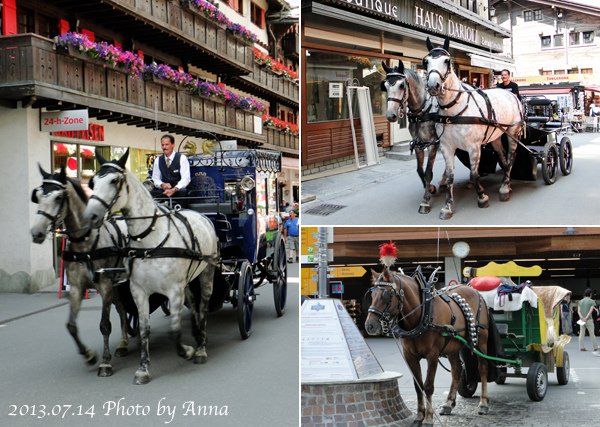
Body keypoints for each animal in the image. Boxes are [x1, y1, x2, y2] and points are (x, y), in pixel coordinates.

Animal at [29, 166, 130, 376]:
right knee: (122, 310)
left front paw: (105, 363)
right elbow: (71, 326)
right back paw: (124, 344)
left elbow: (104, 325)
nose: (37, 233)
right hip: (117, 285)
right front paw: (89, 355)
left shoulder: (105, 287)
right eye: (38, 196)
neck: (86, 243)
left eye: (58, 197)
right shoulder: (76, 288)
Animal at [81, 150, 218, 384]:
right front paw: (143, 368)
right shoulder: (139, 292)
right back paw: (196, 331)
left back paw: (201, 346)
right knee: (193, 302)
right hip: (188, 280)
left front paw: (187, 351)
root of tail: (202, 216)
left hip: (207, 272)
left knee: (203, 305)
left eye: (114, 180)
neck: (150, 241)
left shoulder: (173, 291)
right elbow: (144, 329)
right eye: (92, 182)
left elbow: (174, 330)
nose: (90, 216)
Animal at [364, 270, 490, 426]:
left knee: (483, 369)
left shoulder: (432, 355)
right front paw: (419, 416)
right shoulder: (410, 356)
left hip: (482, 342)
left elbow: (428, 386)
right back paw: (448, 403)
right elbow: (418, 386)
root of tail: (476, 292)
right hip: (452, 348)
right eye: (372, 294)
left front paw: (429, 418)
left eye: (386, 295)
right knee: (456, 370)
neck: (423, 314)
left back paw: (483, 403)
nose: (369, 326)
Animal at [382, 61, 442, 214]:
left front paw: (425, 201)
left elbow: (428, 172)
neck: (422, 111)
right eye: (385, 86)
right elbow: (420, 171)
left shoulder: (433, 144)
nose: (390, 115)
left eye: (401, 85)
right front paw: (430, 188)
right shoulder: (418, 144)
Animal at [422, 36, 524, 221]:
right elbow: (450, 177)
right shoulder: (447, 147)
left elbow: (474, 174)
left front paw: (482, 197)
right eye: (425, 61)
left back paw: (505, 188)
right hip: (496, 136)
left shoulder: (474, 147)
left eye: (446, 61)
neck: (454, 110)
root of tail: (511, 94)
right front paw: (447, 206)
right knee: (503, 158)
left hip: (512, 132)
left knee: (511, 156)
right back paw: (506, 182)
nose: (433, 86)